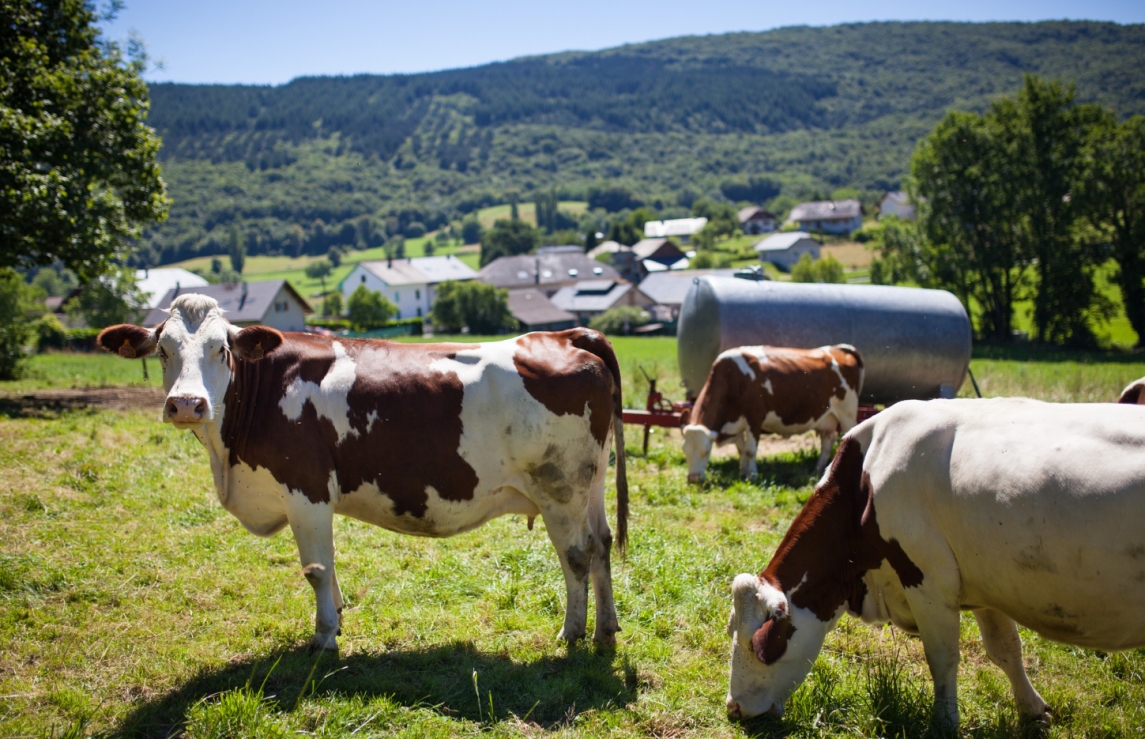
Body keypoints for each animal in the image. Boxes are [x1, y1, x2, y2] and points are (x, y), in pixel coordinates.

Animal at [99, 293, 632, 650]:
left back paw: (571, 633)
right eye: (163, 350)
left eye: (221, 349)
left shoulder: (306, 489)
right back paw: (605, 628)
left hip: (558, 487)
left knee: (577, 554)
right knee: (603, 544)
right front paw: (337, 615)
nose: (187, 404)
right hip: (591, 482)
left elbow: (316, 569)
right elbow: (329, 567)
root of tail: (565, 335)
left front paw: (324, 638)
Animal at [677, 343, 861, 481]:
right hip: (827, 418)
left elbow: (750, 450)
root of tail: (839, 348)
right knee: (827, 442)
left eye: (706, 451)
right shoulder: (735, 423)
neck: (734, 378)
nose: (693, 479)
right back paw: (819, 469)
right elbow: (741, 449)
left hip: (847, 413)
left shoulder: (754, 417)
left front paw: (752, 475)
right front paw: (742, 471)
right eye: (685, 450)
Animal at [723, 398, 1145, 724]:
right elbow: (1005, 650)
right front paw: (1032, 709)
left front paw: (944, 720)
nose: (734, 708)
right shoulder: (985, 587)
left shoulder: (927, 582)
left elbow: (942, 657)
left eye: (758, 644)